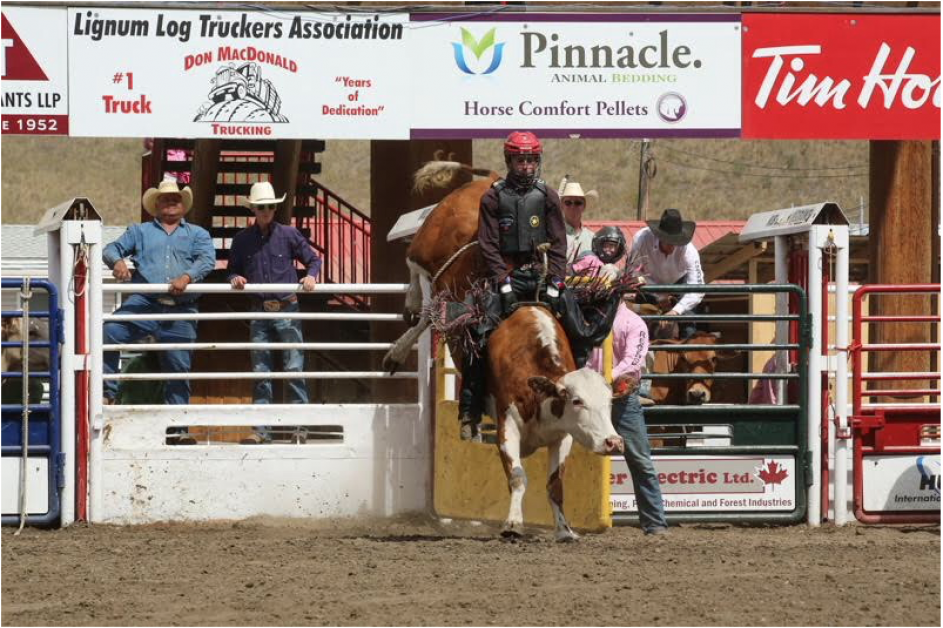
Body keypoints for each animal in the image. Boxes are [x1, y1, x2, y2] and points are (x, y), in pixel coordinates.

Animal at [486, 304, 628, 540]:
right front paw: (513, 524)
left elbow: (555, 486)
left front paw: (564, 530)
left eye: (609, 401)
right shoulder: (507, 428)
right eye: (577, 401)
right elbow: (517, 477)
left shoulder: (563, 437)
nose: (614, 442)